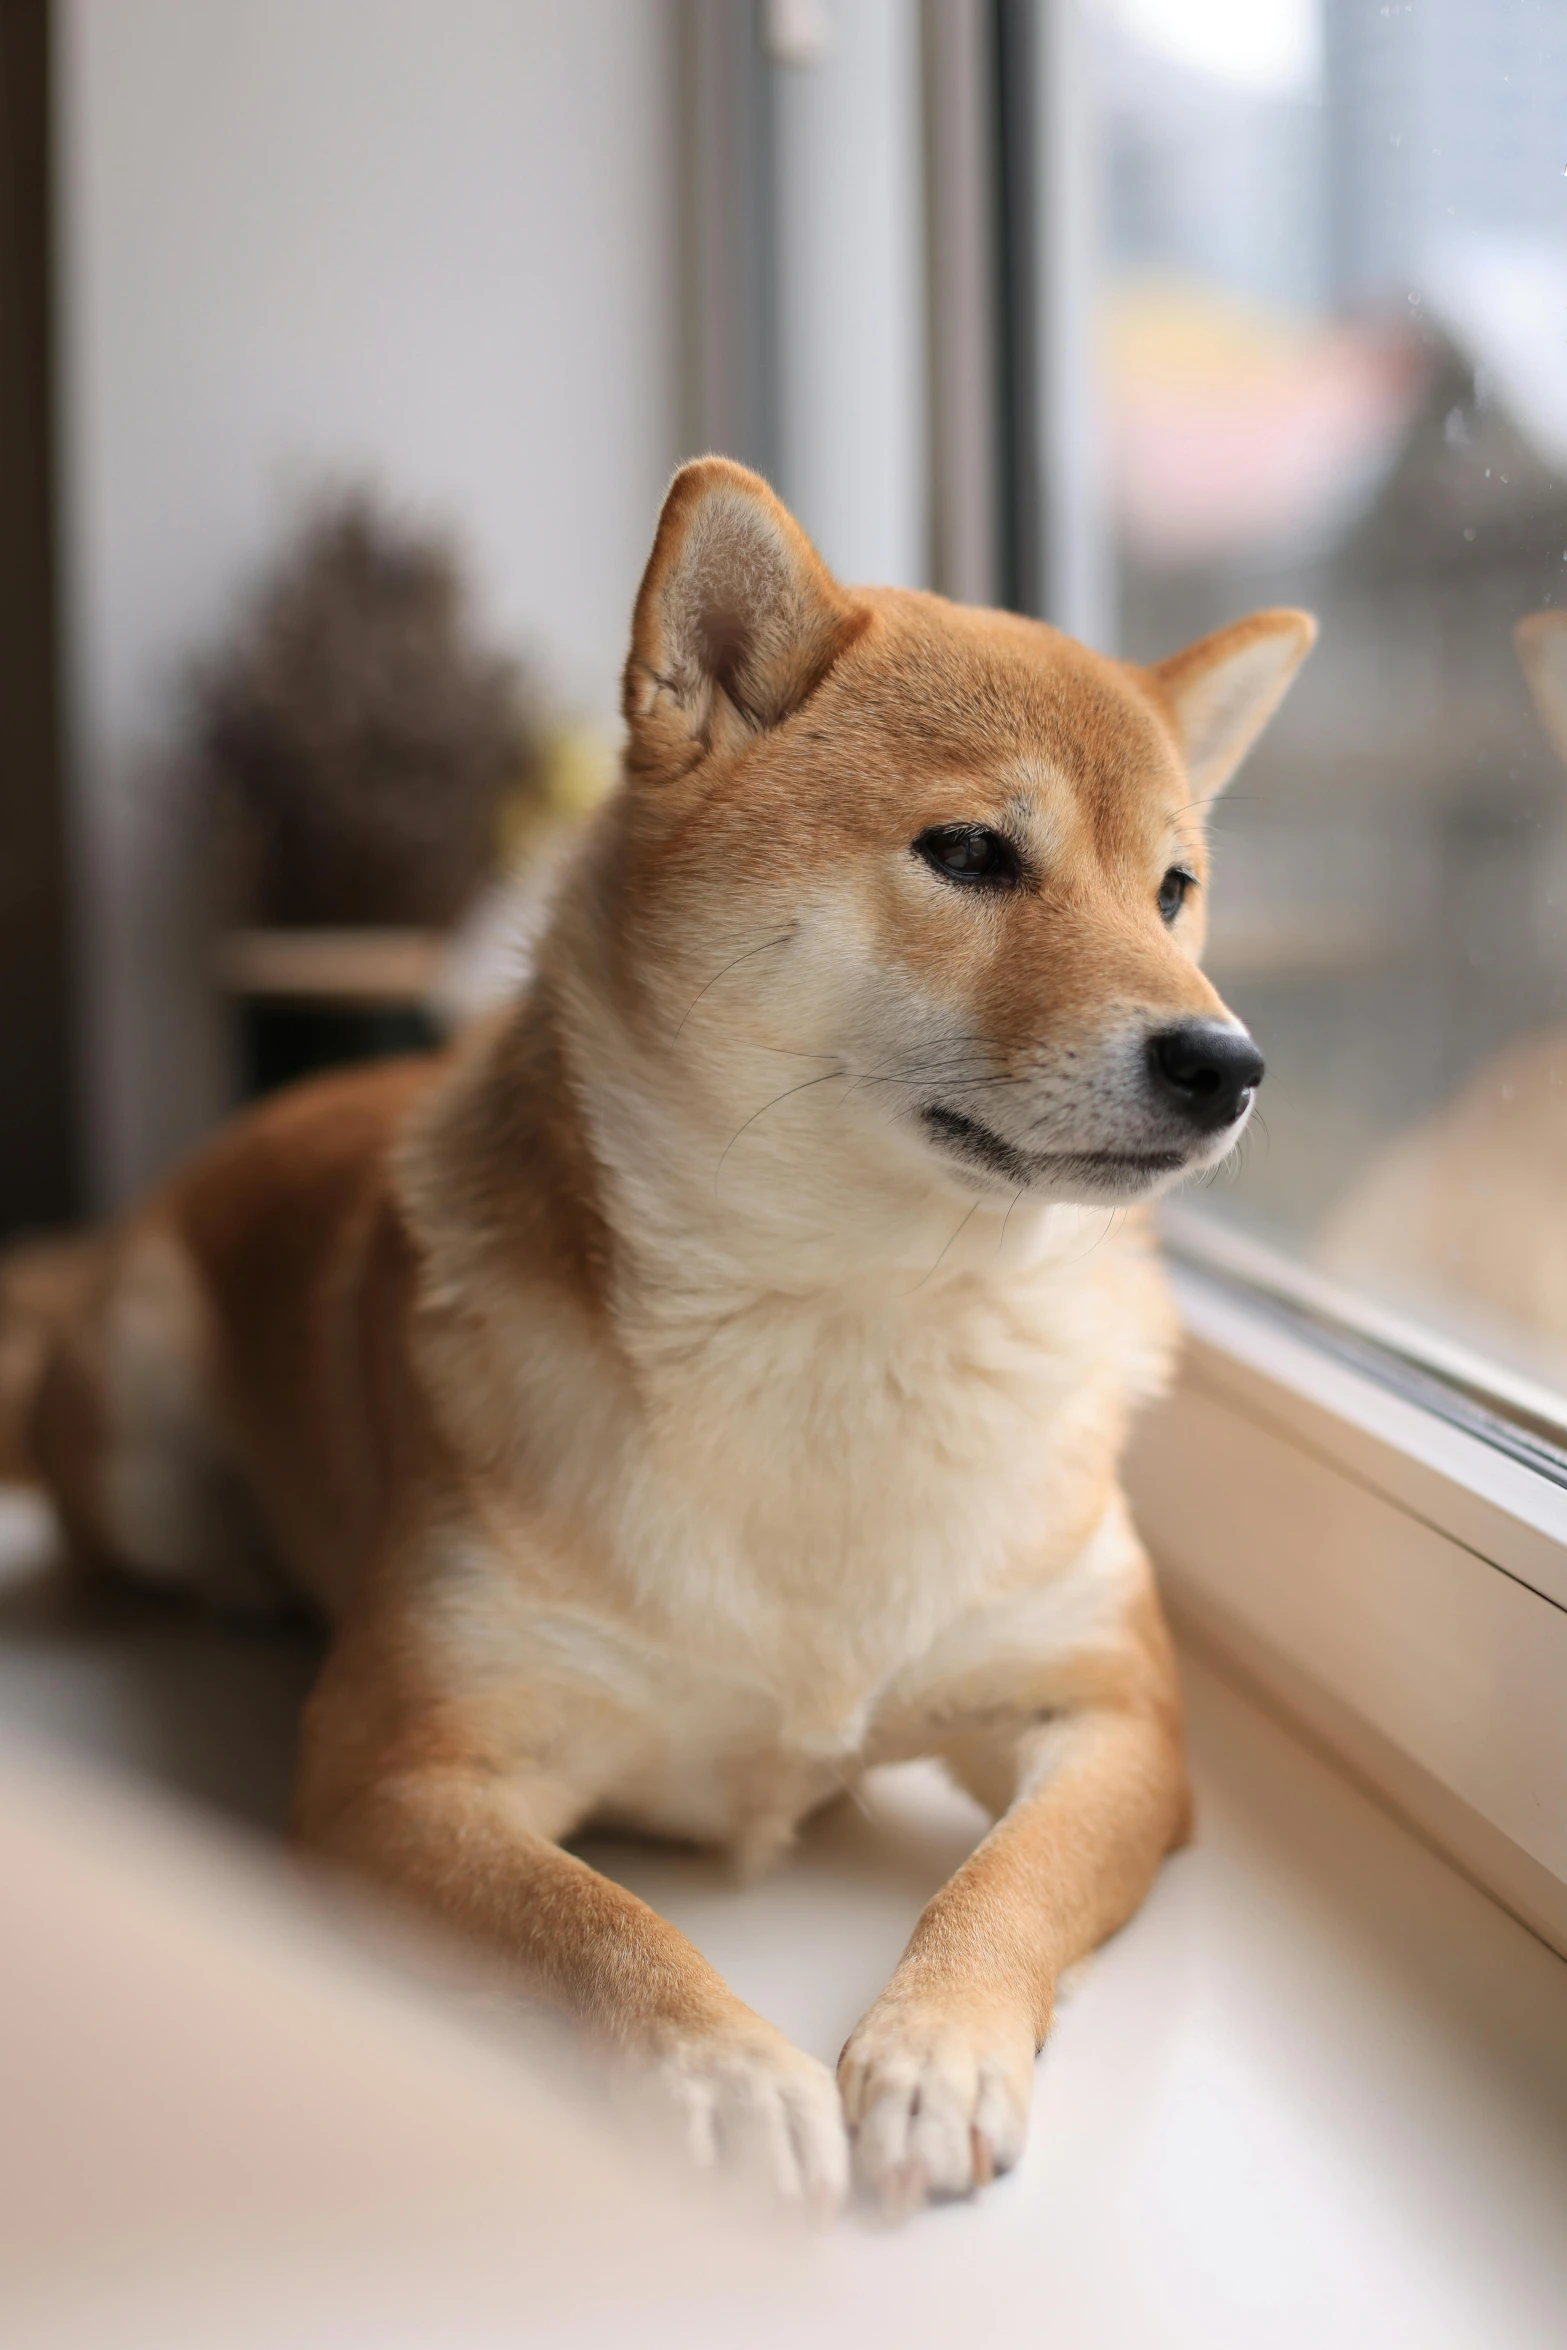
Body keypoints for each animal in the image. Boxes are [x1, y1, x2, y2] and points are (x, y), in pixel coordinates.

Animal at [18, 462, 1315, 2218]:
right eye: (970, 853)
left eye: (1172, 889)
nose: (1222, 1060)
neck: (852, 1324)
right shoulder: (394, 1774)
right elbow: (602, 1917)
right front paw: (720, 2064)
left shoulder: (1111, 1720)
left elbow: (1004, 1887)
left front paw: (935, 2045)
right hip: (142, 1420)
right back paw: (238, 1574)